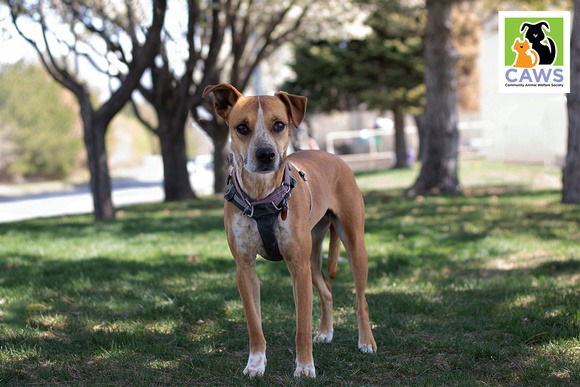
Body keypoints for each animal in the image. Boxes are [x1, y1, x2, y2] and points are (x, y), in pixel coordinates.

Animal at [203, 83, 376, 378]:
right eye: (242, 127)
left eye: (279, 125)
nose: (265, 154)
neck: (261, 196)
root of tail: (331, 155)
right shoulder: (245, 267)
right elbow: (254, 324)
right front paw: (255, 363)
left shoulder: (297, 266)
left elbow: (301, 326)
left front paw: (305, 367)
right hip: (313, 256)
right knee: (327, 290)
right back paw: (326, 332)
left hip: (352, 245)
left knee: (360, 299)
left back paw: (366, 341)